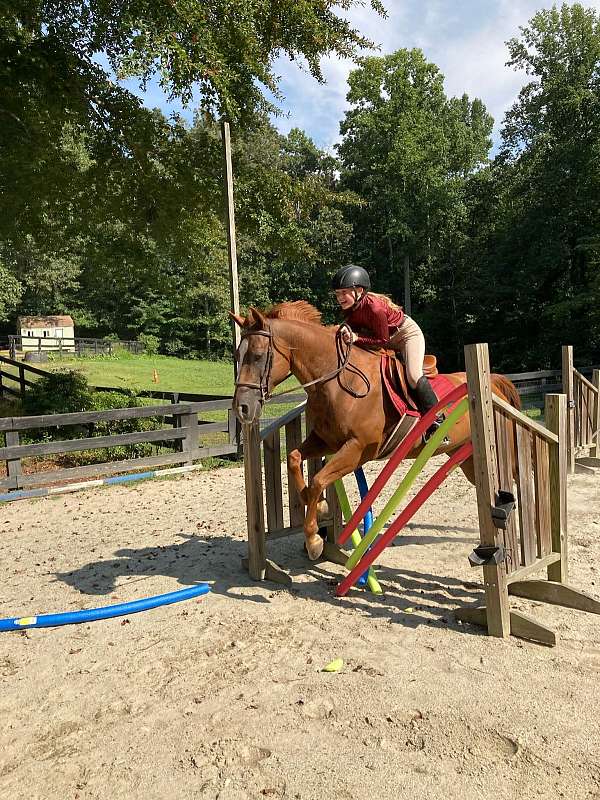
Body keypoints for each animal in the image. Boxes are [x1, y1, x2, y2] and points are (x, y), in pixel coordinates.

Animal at [232, 301, 521, 561]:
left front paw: (313, 539)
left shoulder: (358, 449)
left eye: (257, 356)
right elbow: (294, 460)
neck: (336, 379)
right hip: (467, 457)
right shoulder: (325, 441)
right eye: (236, 356)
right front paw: (322, 508)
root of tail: (493, 382)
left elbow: (318, 481)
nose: (242, 408)